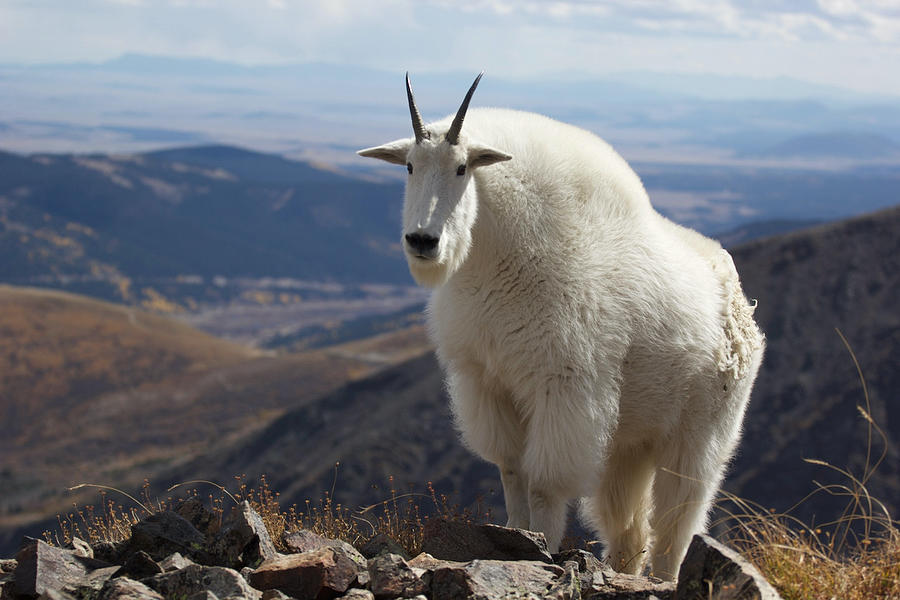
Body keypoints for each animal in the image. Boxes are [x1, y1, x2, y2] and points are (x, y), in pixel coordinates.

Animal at [356, 72, 764, 580]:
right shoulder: (488, 383)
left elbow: (544, 485)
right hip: (629, 443)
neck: (498, 260)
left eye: (462, 168)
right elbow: (512, 472)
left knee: (678, 518)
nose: (422, 241)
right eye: (410, 166)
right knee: (629, 526)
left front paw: (543, 548)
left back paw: (667, 576)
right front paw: (514, 537)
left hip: (701, 431)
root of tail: (740, 302)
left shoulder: (564, 387)